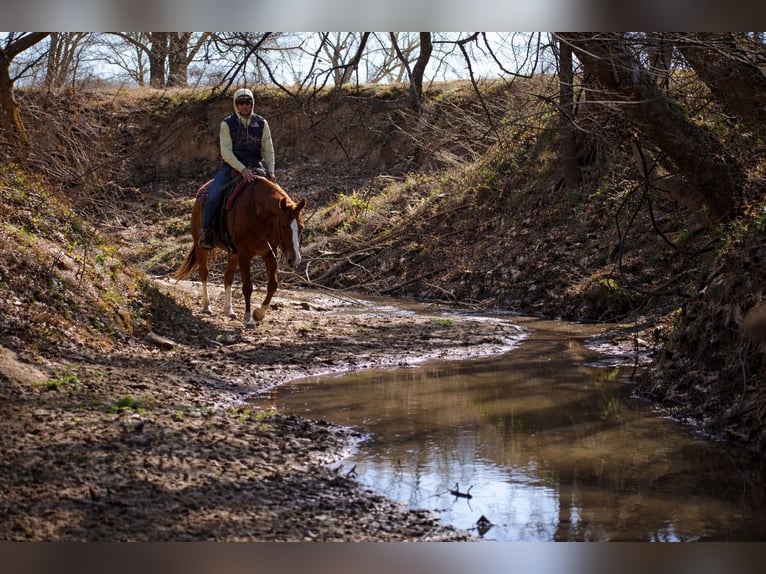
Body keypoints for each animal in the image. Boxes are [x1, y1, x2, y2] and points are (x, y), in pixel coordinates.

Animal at [174, 176, 306, 328]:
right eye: (283, 227)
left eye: (301, 227)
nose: (295, 259)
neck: (258, 215)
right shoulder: (244, 254)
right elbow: (247, 287)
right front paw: (248, 318)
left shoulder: (268, 253)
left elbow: (273, 284)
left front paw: (259, 313)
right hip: (200, 244)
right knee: (204, 273)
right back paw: (207, 306)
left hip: (233, 253)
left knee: (228, 277)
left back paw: (229, 310)